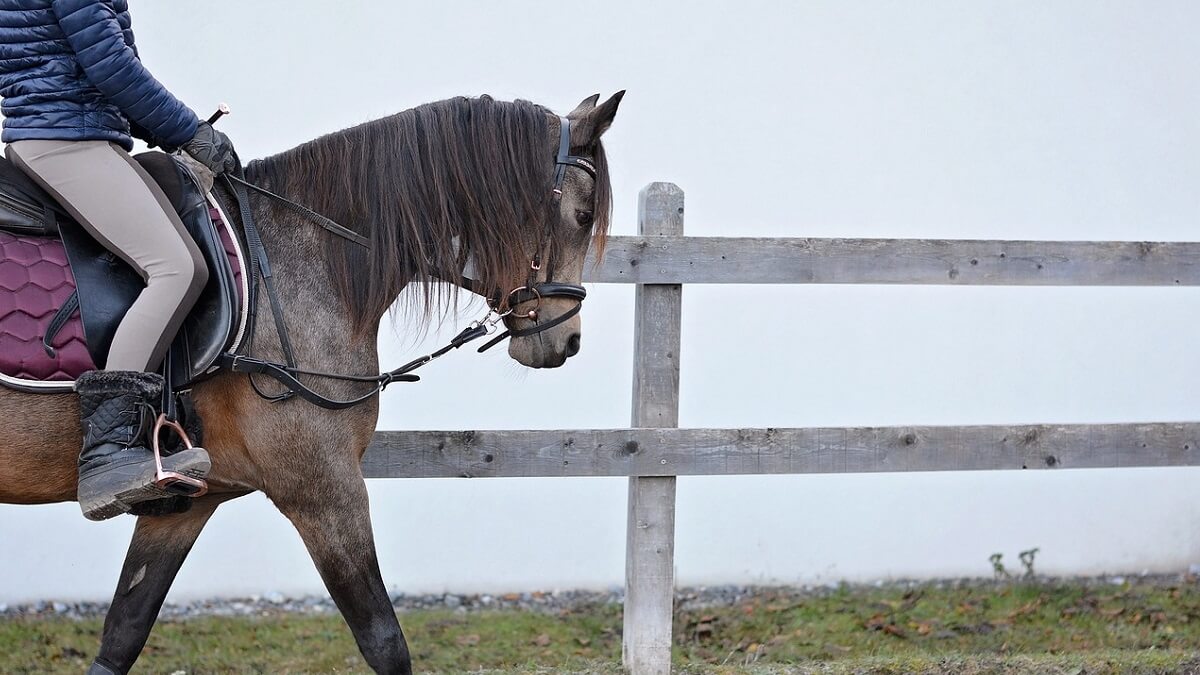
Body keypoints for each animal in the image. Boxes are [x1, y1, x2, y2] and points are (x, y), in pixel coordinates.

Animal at [0, 90, 624, 672]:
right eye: (582, 216)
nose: (565, 340)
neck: (300, 261)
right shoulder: (323, 487)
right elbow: (384, 641)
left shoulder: (187, 499)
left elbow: (123, 633)